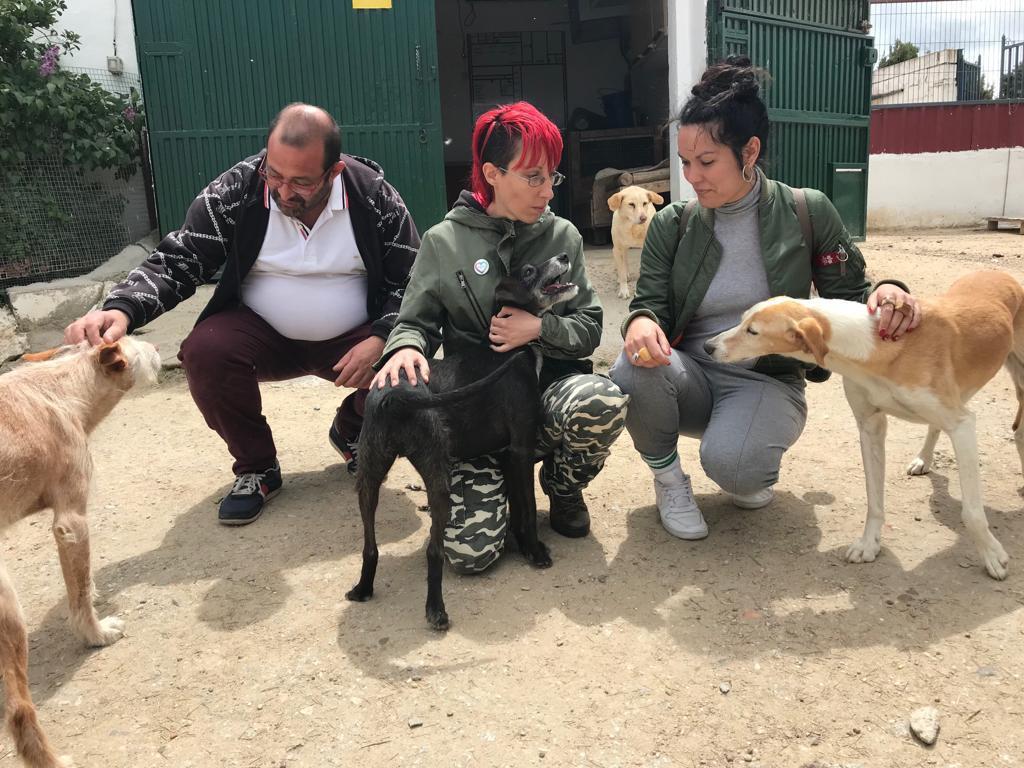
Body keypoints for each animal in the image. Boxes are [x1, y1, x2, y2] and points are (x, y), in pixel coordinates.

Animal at [0, 337, 159, 768]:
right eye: (140, 347)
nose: (158, 344)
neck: (65, 386)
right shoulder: (72, 522)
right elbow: (80, 595)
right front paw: (96, 633)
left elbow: (81, 578)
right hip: (8, 614)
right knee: (19, 711)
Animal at [348, 252, 581, 630]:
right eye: (529, 270)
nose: (562, 256)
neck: (509, 349)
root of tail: (395, 397)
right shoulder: (520, 449)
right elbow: (529, 508)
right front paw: (535, 551)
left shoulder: (506, 455)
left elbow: (518, 507)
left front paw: (520, 543)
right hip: (436, 476)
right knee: (434, 549)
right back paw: (436, 611)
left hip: (368, 475)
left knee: (370, 545)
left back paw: (363, 589)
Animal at [704, 274, 1024, 581]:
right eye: (742, 319)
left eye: (753, 331)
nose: (708, 346)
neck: (877, 348)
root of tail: (1001, 274)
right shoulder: (870, 427)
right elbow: (874, 499)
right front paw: (869, 544)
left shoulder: (962, 425)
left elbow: (972, 512)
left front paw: (992, 556)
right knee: (936, 426)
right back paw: (923, 459)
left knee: (1017, 431)